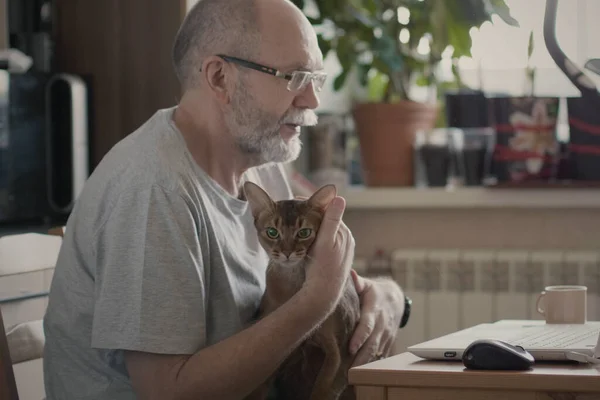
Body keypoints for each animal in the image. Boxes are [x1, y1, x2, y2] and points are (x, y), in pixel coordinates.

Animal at [243, 182, 360, 400]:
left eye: (304, 233)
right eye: (272, 232)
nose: (287, 253)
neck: (292, 287)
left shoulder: (338, 354)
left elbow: (322, 391)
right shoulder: (280, 355)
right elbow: (258, 389)